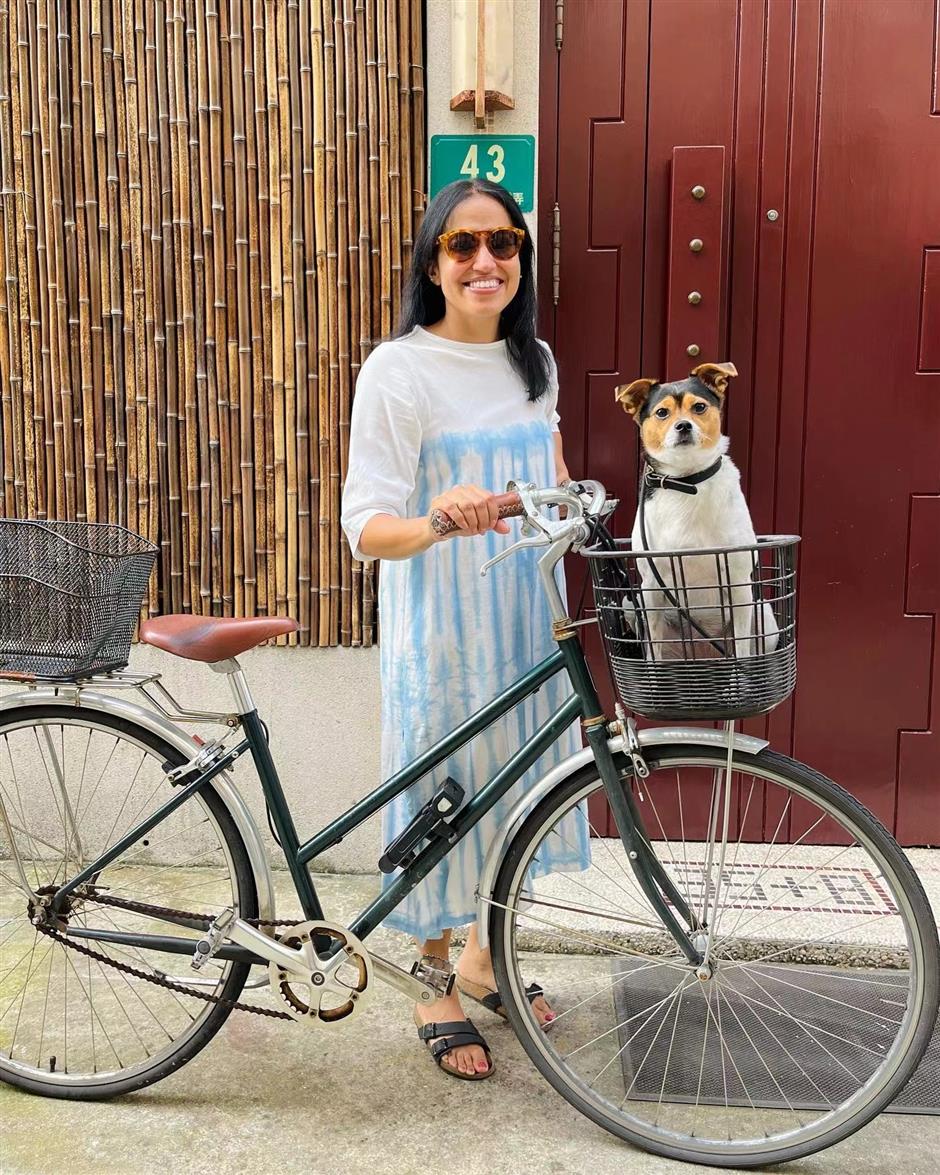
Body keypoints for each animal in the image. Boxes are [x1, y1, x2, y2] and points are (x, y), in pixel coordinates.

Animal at [613, 362, 778, 661]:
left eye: (699, 407)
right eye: (662, 412)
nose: (683, 425)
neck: (686, 481)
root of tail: (703, 654)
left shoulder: (739, 583)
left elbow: (742, 650)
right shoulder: (651, 587)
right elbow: (653, 651)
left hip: (761, 611)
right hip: (632, 603)